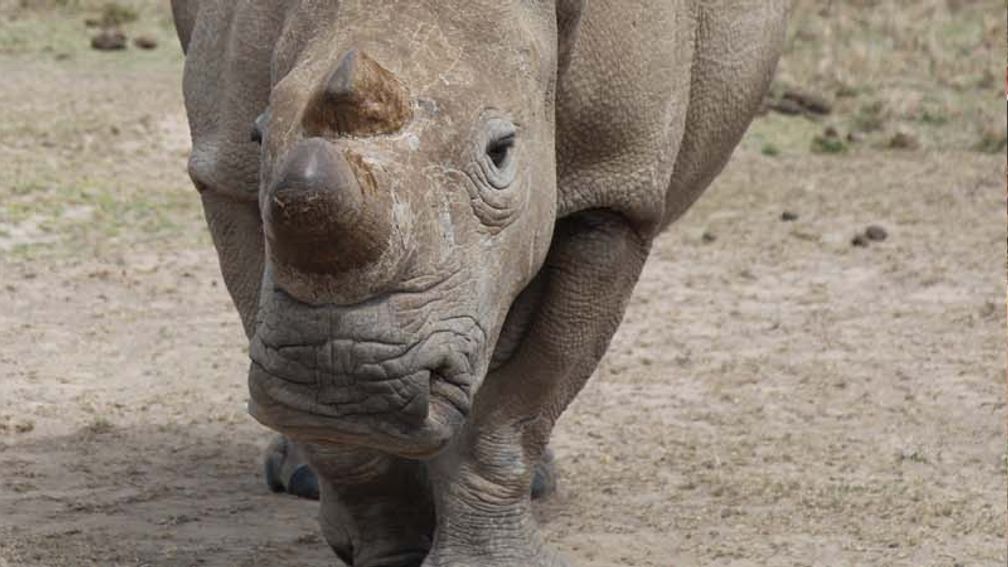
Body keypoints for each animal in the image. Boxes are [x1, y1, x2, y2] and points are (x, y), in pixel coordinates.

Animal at [171, 1, 787, 565]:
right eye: (257, 137)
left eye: (501, 151)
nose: (347, 381)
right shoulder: (227, 176)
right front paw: (391, 545)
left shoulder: (612, 188)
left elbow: (520, 406)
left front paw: (486, 557)